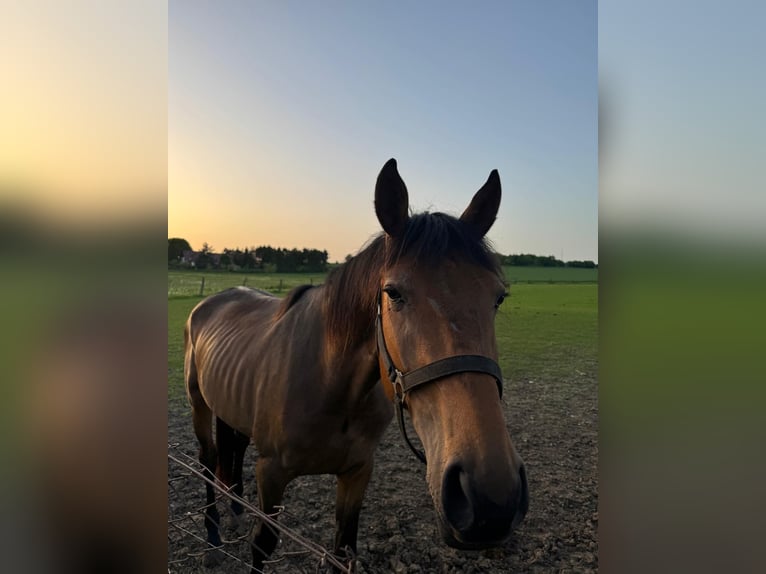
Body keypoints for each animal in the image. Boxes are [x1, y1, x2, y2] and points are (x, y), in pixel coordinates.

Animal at [184, 158, 529, 572]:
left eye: (498, 297)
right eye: (393, 293)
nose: (490, 497)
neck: (330, 382)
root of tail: (211, 302)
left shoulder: (358, 472)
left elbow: (342, 549)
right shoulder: (271, 473)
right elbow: (262, 545)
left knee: (232, 451)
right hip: (199, 406)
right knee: (208, 460)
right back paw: (213, 534)